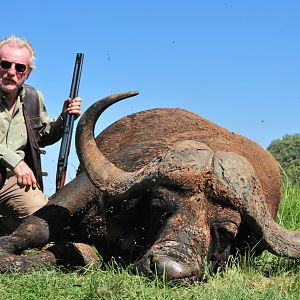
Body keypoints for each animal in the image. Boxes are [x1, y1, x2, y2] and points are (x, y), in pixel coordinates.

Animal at [0, 92, 298, 282]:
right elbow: (36, 226)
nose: (168, 268)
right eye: (159, 207)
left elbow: (82, 254)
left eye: (226, 231)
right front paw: (7, 248)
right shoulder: (86, 186)